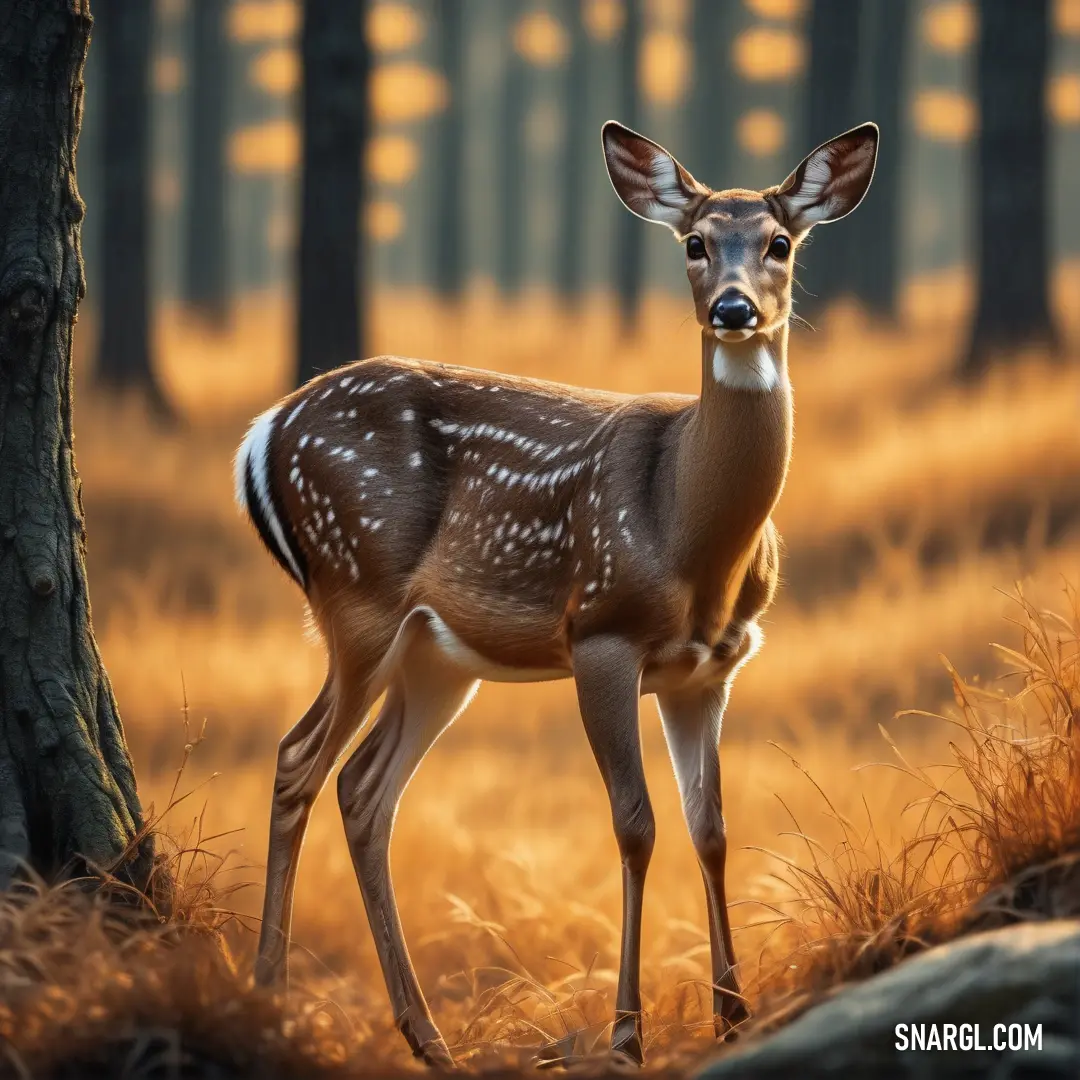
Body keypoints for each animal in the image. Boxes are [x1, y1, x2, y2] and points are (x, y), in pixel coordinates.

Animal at [236, 118, 876, 1062]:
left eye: (779, 243)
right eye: (693, 242)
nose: (732, 309)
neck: (689, 531)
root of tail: (264, 433)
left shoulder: (709, 670)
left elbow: (713, 828)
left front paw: (733, 1012)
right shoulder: (601, 635)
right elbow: (636, 824)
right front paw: (626, 1034)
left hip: (436, 658)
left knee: (363, 788)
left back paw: (427, 1037)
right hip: (356, 593)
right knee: (297, 760)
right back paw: (271, 997)